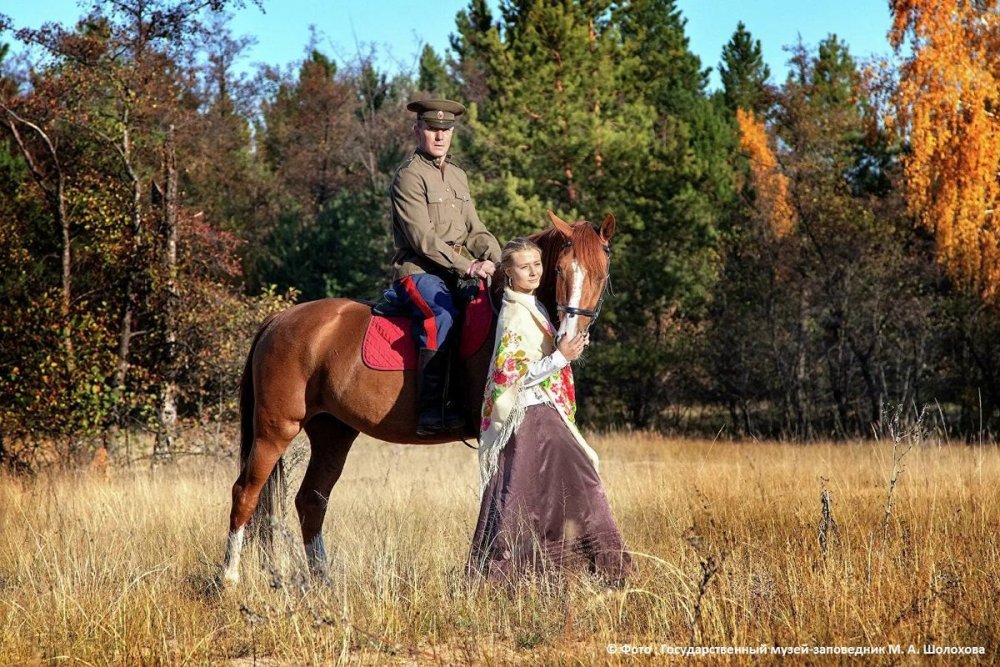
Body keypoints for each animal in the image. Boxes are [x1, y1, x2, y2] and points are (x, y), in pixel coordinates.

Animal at [222, 210, 612, 584]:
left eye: (601, 274)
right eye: (559, 270)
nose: (569, 337)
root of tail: (278, 320)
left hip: (333, 434)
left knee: (311, 501)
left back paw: (323, 581)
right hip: (276, 429)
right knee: (245, 493)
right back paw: (229, 578)